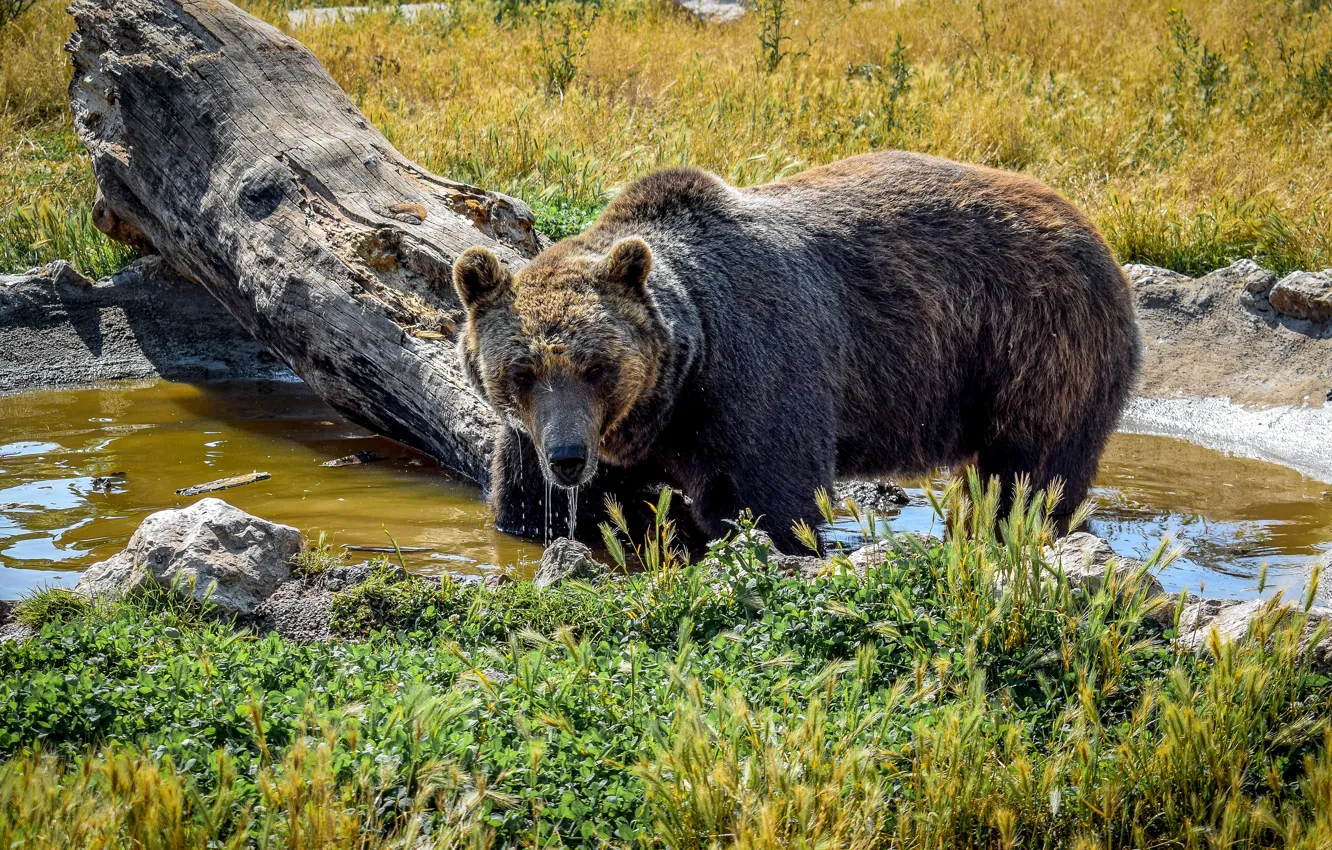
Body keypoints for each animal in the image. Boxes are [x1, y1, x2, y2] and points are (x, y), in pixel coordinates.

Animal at [452, 151, 1141, 552]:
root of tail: (1095, 233)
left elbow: (768, 498)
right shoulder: (563, 429)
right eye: (522, 371)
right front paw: (550, 514)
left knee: (1030, 471)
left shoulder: (755, 375)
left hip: (1037, 344)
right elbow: (527, 501)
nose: (569, 458)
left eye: (598, 367)